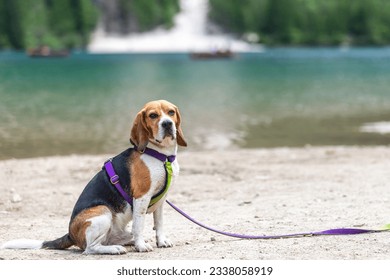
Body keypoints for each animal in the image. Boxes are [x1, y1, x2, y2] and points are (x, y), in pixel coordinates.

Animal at [1, 100, 187, 254]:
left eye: (171, 112)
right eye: (153, 115)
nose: (167, 124)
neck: (162, 156)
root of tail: (71, 234)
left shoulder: (161, 200)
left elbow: (159, 223)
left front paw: (161, 241)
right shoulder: (142, 197)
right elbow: (139, 224)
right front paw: (141, 246)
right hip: (102, 212)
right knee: (90, 248)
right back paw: (115, 249)